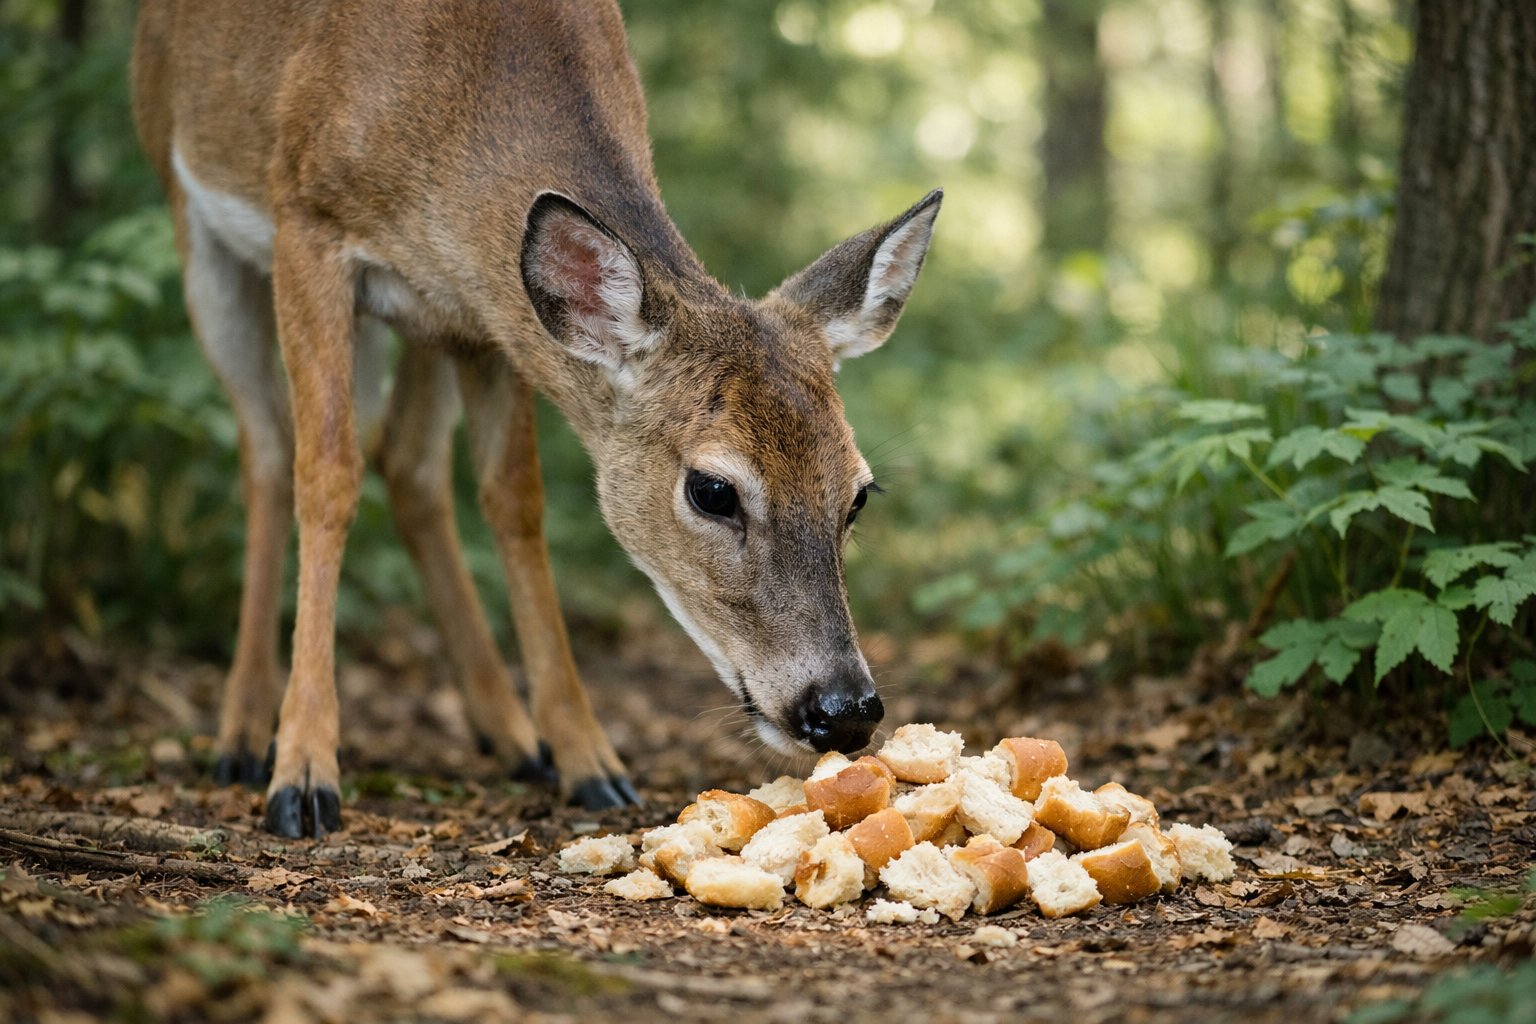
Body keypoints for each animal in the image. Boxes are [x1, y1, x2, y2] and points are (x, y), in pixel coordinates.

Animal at [131, 0, 941, 838]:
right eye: (712, 490)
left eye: (859, 494)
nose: (845, 711)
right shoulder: (307, 222)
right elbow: (325, 478)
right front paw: (302, 773)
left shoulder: (490, 317)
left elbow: (515, 501)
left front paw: (589, 760)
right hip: (191, 207)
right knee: (267, 448)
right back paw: (240, 734)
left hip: (430, 324)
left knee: (409, 462)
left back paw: (512, 734)